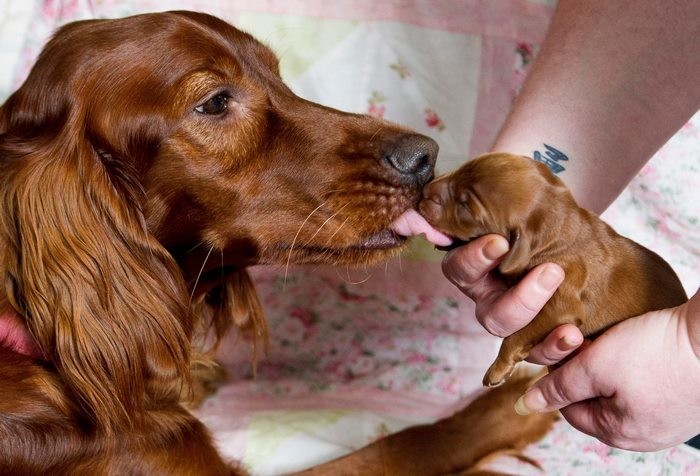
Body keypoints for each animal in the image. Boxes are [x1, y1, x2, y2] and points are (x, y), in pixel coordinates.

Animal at [418, 152, 688, 386]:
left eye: (465, 206)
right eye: (462, 168)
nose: (425, 191)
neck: (558, 235)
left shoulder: (562, 301)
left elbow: (515, 335)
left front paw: (498, 369)